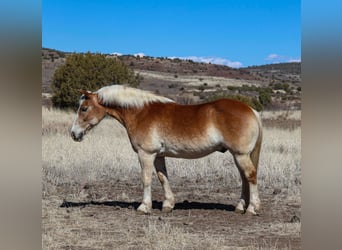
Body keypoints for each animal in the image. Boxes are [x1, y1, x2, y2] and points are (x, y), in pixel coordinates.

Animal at [69, 85, 262, 215]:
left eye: (84, 108)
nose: (73, 134)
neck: (140, 112)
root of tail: (251, 110)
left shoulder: (146, 154)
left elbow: (146, 179)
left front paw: (144, 207)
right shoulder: (159, 156)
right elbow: (163, 178)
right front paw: (168, 204)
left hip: (241, 155)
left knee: (251, 176)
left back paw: (252, 208)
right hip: (238, 156)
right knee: (244, 178)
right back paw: (240, 207)